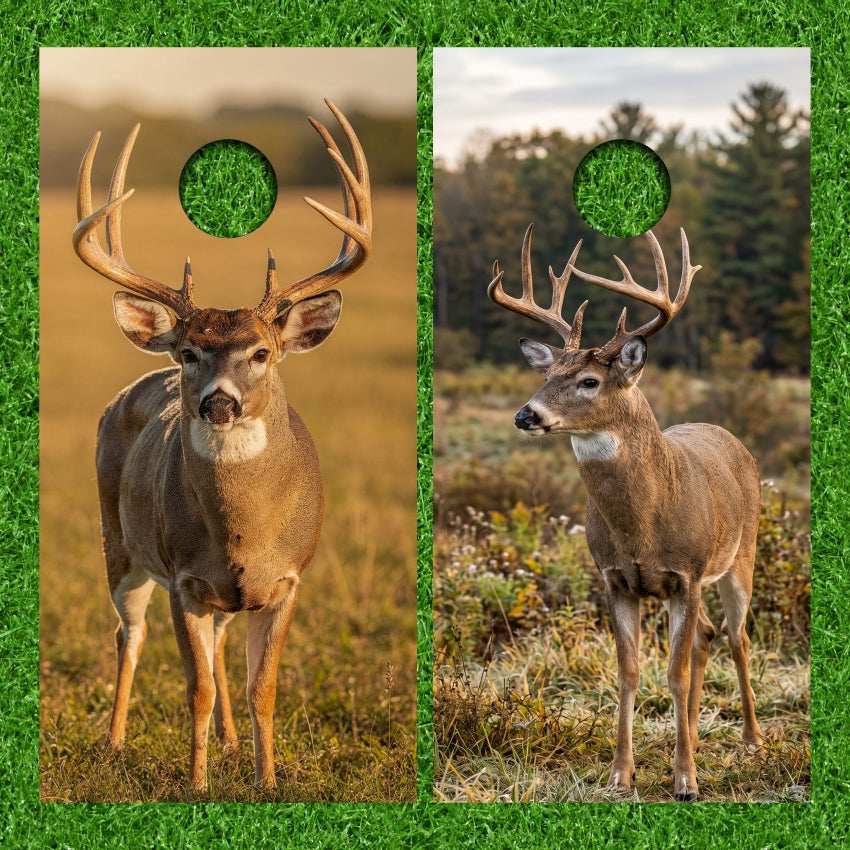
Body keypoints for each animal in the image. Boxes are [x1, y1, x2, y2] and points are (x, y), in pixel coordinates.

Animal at [70, 99, 371, 791]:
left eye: (262, 352)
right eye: (189, 351)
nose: (219, 402)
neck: (243, 533)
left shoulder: (286, 579)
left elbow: (263, 688)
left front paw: (266, 780)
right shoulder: (184, 578)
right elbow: (197, 688)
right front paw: (198, 783)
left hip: (223, 595)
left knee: (222, 647)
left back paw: (233, 744)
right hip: (118, 543)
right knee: (128, 636)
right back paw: (115, 741)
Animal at [488, 224, 763, 801]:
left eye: (589, 381)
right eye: (549, 374)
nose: (526, 415)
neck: (642, 528)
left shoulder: (686, 574)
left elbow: (673, 674)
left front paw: (685, 782)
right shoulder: (615, 579)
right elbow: (630, 671)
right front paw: (621, 773)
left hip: (739, 557)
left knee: (736, 636)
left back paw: (750, 739)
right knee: (706, 636)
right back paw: (695, 737)